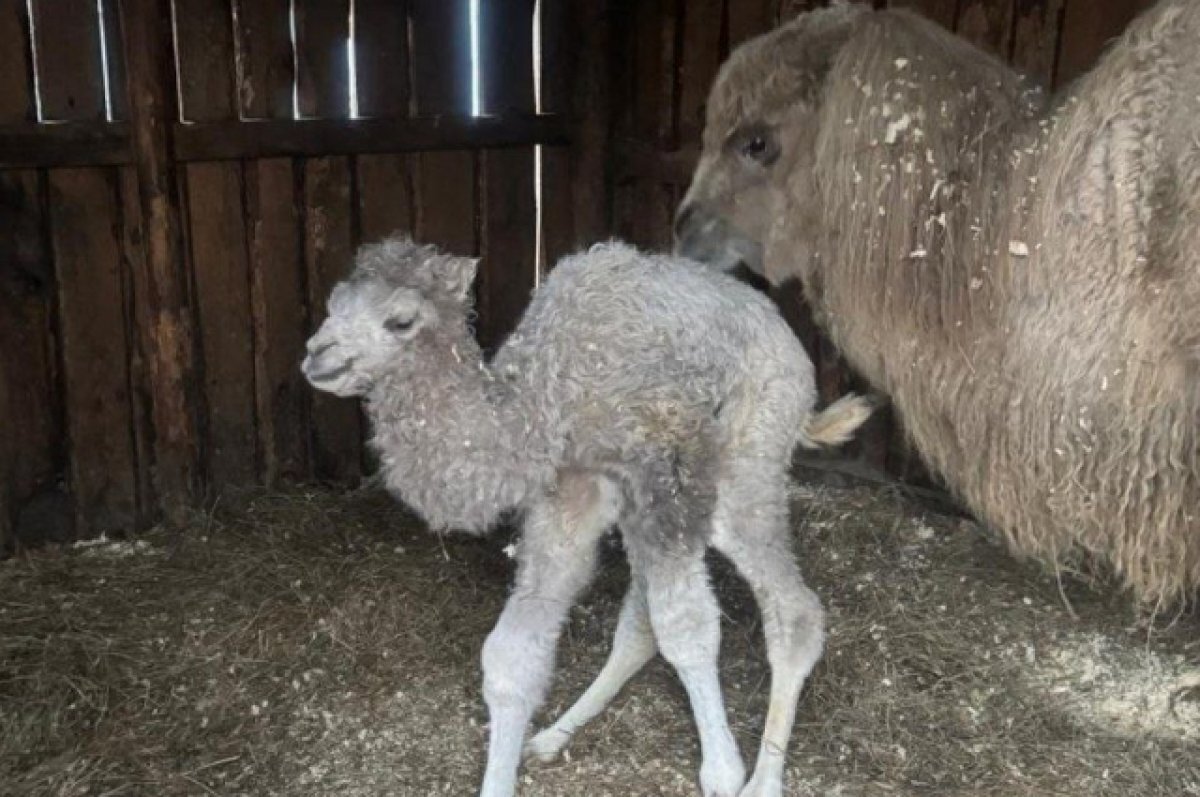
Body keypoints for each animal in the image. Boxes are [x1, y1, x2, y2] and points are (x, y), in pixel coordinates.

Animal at [300, 236, 873, 797]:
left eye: (401, 320)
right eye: (332, 304)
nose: (316, 357)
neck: (543, 401)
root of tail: (789, 340)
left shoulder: (666, 470)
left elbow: (687, 629)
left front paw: (724, 774)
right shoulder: (572, 488)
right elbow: (511, 654)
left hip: (747, 457)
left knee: (794, 610)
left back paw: (763, 781)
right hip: (644, 510)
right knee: (641, 622)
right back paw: (554, 735)